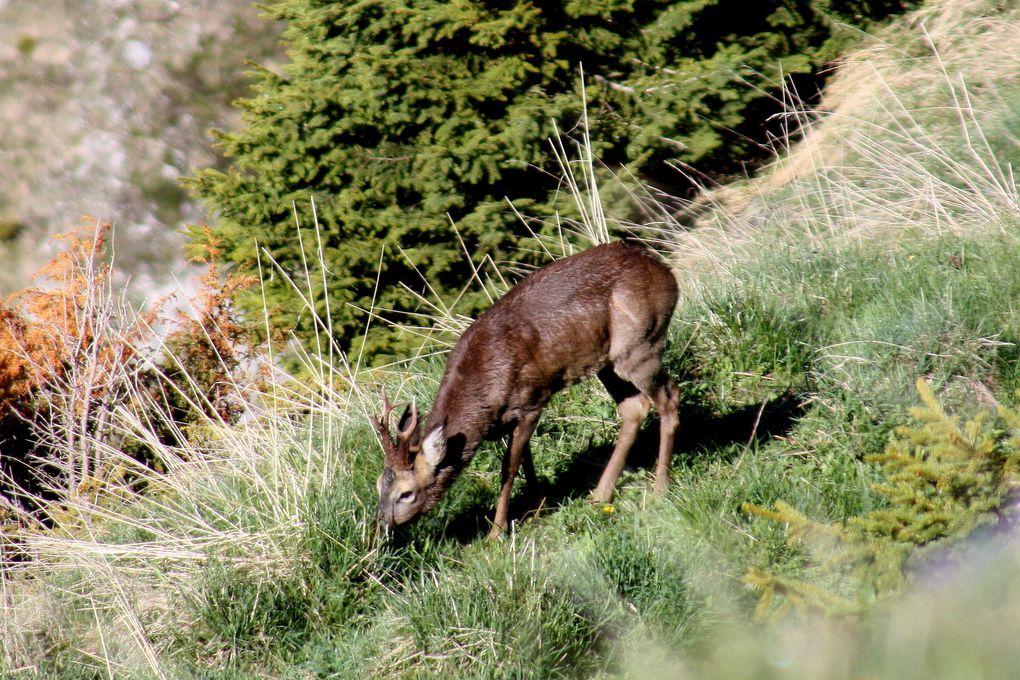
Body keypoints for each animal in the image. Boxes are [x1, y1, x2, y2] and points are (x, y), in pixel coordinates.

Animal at [375, 241, 677, 538]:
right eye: (379, 484)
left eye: (406, 493)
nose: (381, 524)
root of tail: (665, 271)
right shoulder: (512, 415)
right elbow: (526, 460)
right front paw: (538, 506)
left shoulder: (532, 400)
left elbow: (509, 467)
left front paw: (496, 532)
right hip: (608, 361)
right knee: (634, 408)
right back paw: (600, 496)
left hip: (640, 345)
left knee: (669, 396)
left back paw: (660, 488)